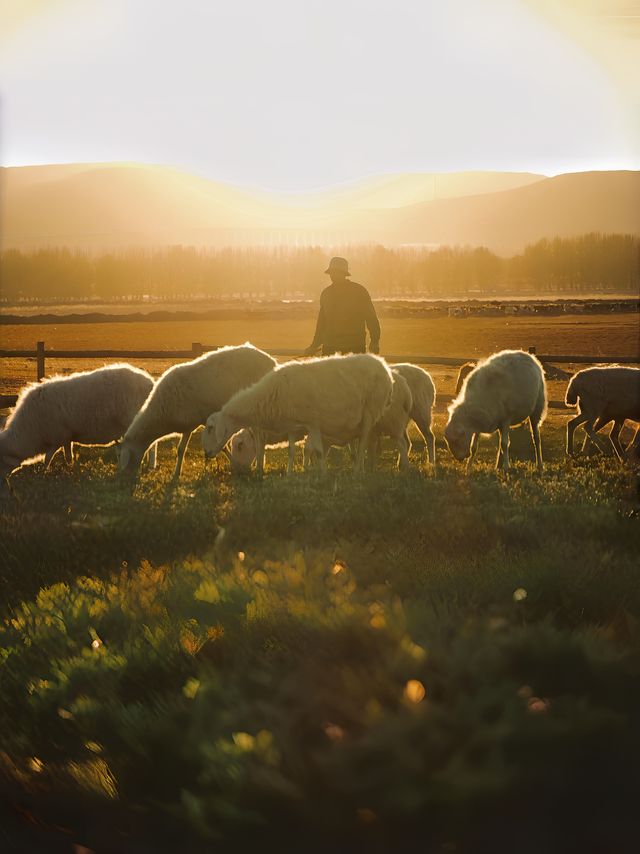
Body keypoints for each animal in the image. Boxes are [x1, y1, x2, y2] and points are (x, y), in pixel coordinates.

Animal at [0, 362, 154, 482]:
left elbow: (47, 458)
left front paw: (44, 473)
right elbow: (68, 456)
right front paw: (70, 469)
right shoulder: (66, 437)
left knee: (151, 445)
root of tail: (150, 382)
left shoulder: (58, 436)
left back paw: (150, 466)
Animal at [117, 342, 276, 482]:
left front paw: (236, 467)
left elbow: (222, 446)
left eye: (123, 457)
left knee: (259, 436)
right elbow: (181, 450)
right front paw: (176, 475)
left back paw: (259, 467)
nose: (123, 479)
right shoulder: (188, 424)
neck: (161, 412)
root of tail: (270, 360)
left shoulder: (206, 420)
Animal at [204, 354, 396, 474]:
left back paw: (357, 472)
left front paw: (322, 475)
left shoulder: (313, 423)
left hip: (370, 413)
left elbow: (318, 451)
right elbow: (291, 451)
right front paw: (290, 475)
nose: (206, 454)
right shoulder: (293, 426)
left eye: (210, 427)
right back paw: (363, 469)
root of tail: (383, 366)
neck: (271, 393)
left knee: (363, 444)